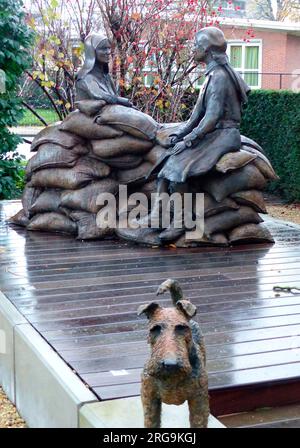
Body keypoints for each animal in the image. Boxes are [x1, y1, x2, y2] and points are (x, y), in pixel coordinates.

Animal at [138, 278, 210, 428]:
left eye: (181, 327)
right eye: (155, 328)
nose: (170, 365)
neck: (171, 379)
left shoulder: (199, 401)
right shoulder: (149, 399)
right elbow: (152, 422)